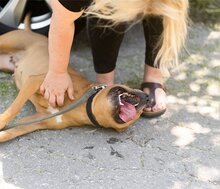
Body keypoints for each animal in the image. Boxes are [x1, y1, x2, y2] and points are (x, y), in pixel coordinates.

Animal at [0, 29, 149, 142]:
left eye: (137, 115)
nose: (147, 97)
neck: (83, 104)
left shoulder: (37, 121)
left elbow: (9, 133)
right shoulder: (36, 81)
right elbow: (14, 109)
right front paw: (1, 121)